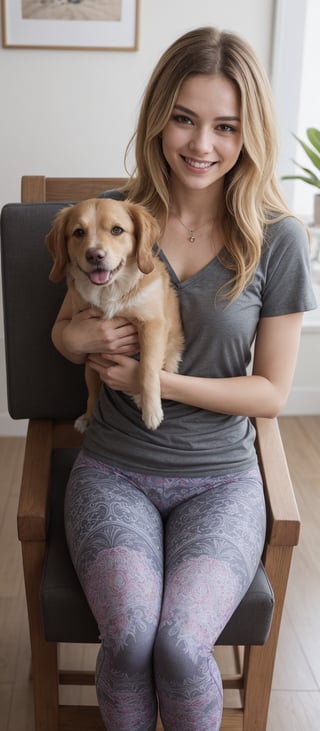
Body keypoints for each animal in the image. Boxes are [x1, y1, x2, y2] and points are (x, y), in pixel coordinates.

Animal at [46, 197, 184, 432]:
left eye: (117, 230)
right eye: (78, 232)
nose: (94, 255)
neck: (110, 289)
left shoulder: (153, 325)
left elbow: (147, 368)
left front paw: (151, 410)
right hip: (90, 369)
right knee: (93, 393)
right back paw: (89, 416)